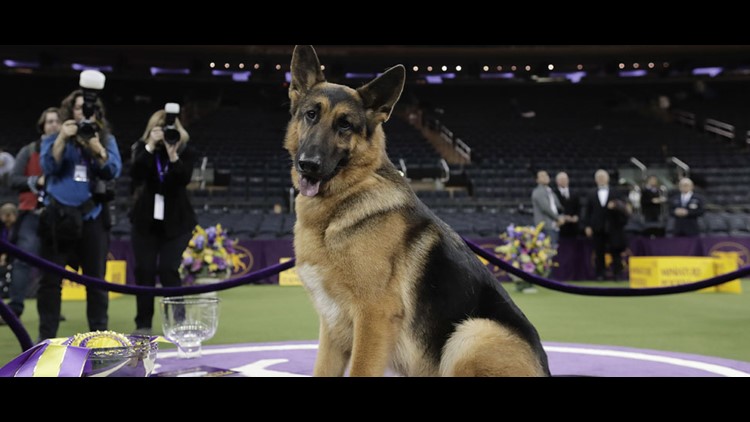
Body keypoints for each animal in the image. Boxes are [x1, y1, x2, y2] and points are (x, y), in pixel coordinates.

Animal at [284, 45, 548, 376]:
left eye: (345, 124)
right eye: (311, 115)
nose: (308, 165)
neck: (343, 202)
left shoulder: (373, 317)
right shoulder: (332, 327)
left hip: (471, 332)